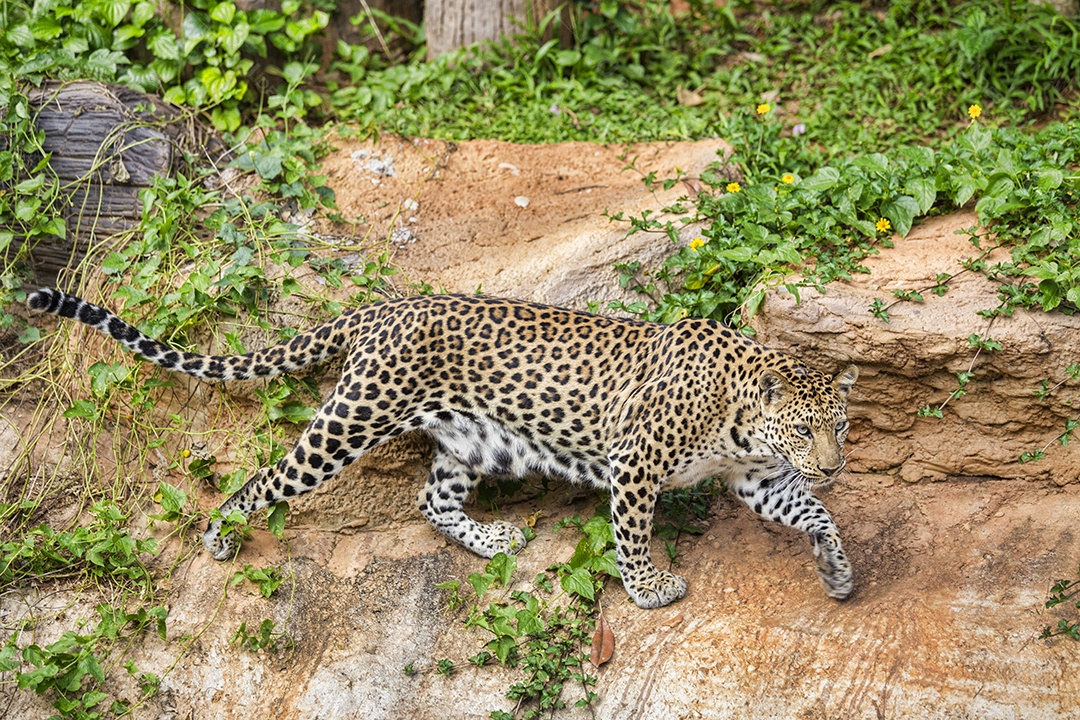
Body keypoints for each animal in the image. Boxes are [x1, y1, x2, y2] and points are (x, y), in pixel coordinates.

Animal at [27, 287, 859, 608]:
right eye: (804, 429)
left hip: (477, 442)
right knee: (265, 477)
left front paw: (839, 570)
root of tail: (381, 308)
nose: (835, 464)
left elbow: (814, 514)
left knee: (431, 499)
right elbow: (630, 534)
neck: (740, 416)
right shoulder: (635, 464)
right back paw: (221, 536)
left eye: (840, 427)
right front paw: (650, 588)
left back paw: (492, 540)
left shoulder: (758, 479)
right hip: (351, 420)